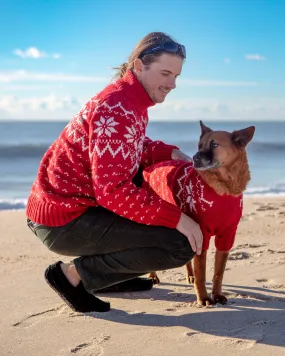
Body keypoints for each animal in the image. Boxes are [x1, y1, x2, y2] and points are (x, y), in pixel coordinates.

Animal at [143, 121, 254, 304]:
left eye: (214, 145)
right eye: (199, 145)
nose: (194, 157)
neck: (223, 186)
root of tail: (148, 167)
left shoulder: (227, 235)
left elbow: (218, 273)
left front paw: (216, 294)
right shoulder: (202, 234)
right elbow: (201, 272)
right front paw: (204, 298)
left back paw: (190, 275)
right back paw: (152, 276)